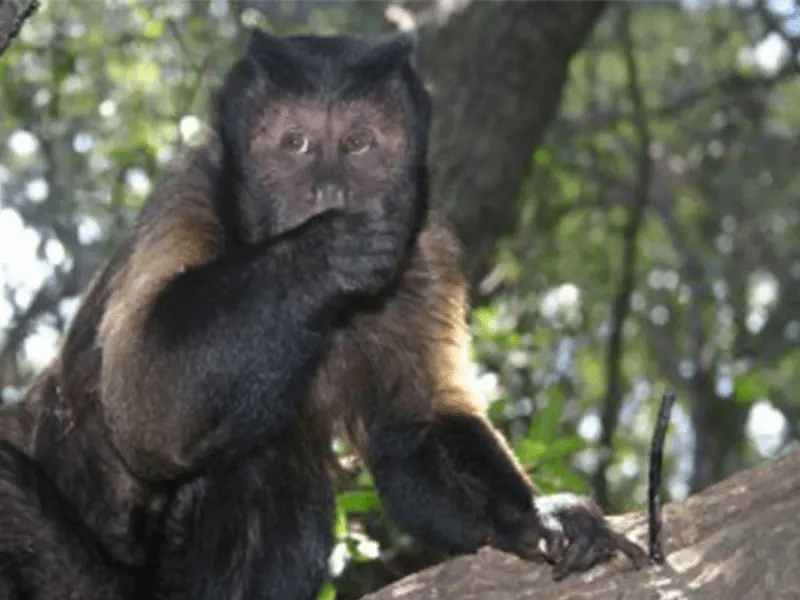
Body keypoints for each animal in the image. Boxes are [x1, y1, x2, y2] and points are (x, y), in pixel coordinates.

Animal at [0, 31, 650, 600]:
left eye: (359, 142)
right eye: (296, 143)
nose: (329, 191)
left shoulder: (424, 246)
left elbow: (412, 429)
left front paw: (536, 515)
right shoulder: (190, 189)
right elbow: (147, 409)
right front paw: (327, 252)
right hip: (83, 577)